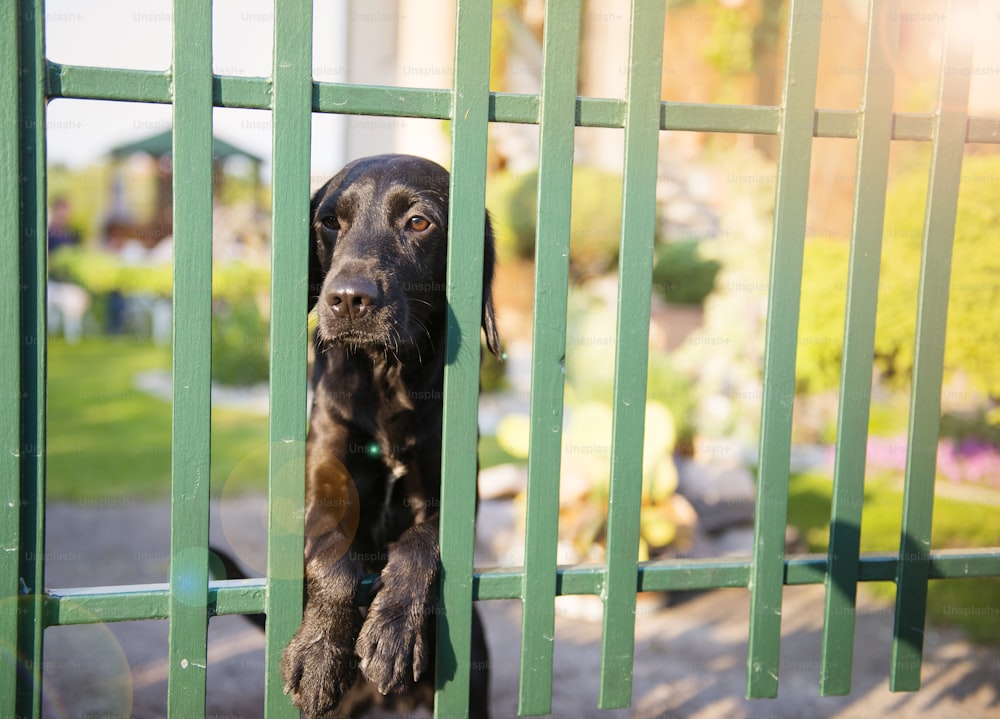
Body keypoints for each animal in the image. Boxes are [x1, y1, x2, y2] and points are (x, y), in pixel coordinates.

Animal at [282, 155, 500, 716]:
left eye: (418, 222)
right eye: (330, 221)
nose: (348, 299)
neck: (388, 379)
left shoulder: (457, 502)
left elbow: (420, 544)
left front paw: (393, 633)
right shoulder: (323, 481)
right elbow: (333, 557)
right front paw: (319, 651)